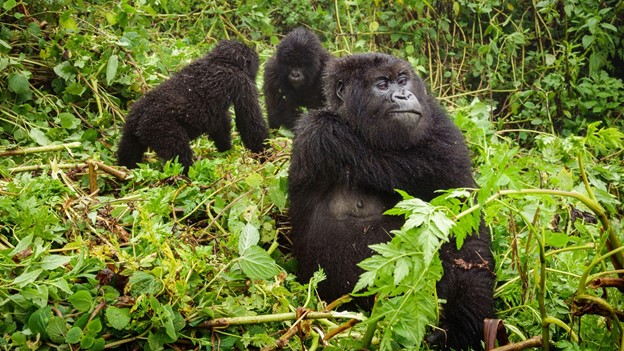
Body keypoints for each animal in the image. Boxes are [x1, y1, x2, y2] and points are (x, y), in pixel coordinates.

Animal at [117, 40, 268, 172]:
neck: (220, 61)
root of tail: (139, 118)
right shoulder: (242, 83)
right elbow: (250, 123)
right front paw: (264, 155)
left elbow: (220, 124)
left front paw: (225, 150)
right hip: (159, 127)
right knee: (178, 155)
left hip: (131, 124)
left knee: (128, 149)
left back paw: (125, 170)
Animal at [288, 53, 498, 350]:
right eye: (382, 84)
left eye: (402, 80)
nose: (404, 94)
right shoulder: (314, 136)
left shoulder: (445, 132)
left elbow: (466, 235)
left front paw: (462, 323)